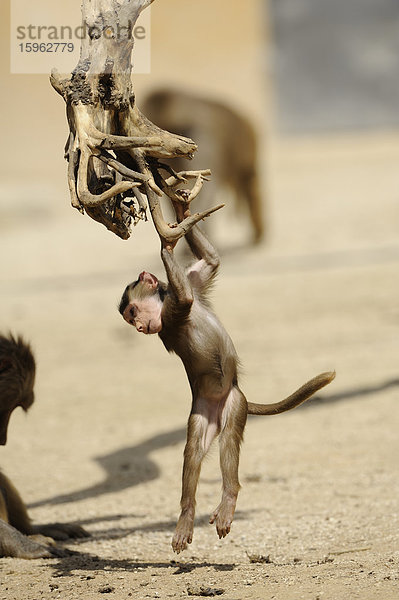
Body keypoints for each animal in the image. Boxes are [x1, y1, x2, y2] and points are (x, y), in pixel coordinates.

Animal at [119, 198, 334, 552]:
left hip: (235, 402)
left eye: (132, 312)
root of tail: (228, 394)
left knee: (225, 441)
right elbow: (186, 298)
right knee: (200, 450)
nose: (137, 327)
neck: (164, 301)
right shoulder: (172, 315)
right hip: (208, 410)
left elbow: (210, 261)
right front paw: (167, 241)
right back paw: (199, 512)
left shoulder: (190, 282)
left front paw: (179, 211)